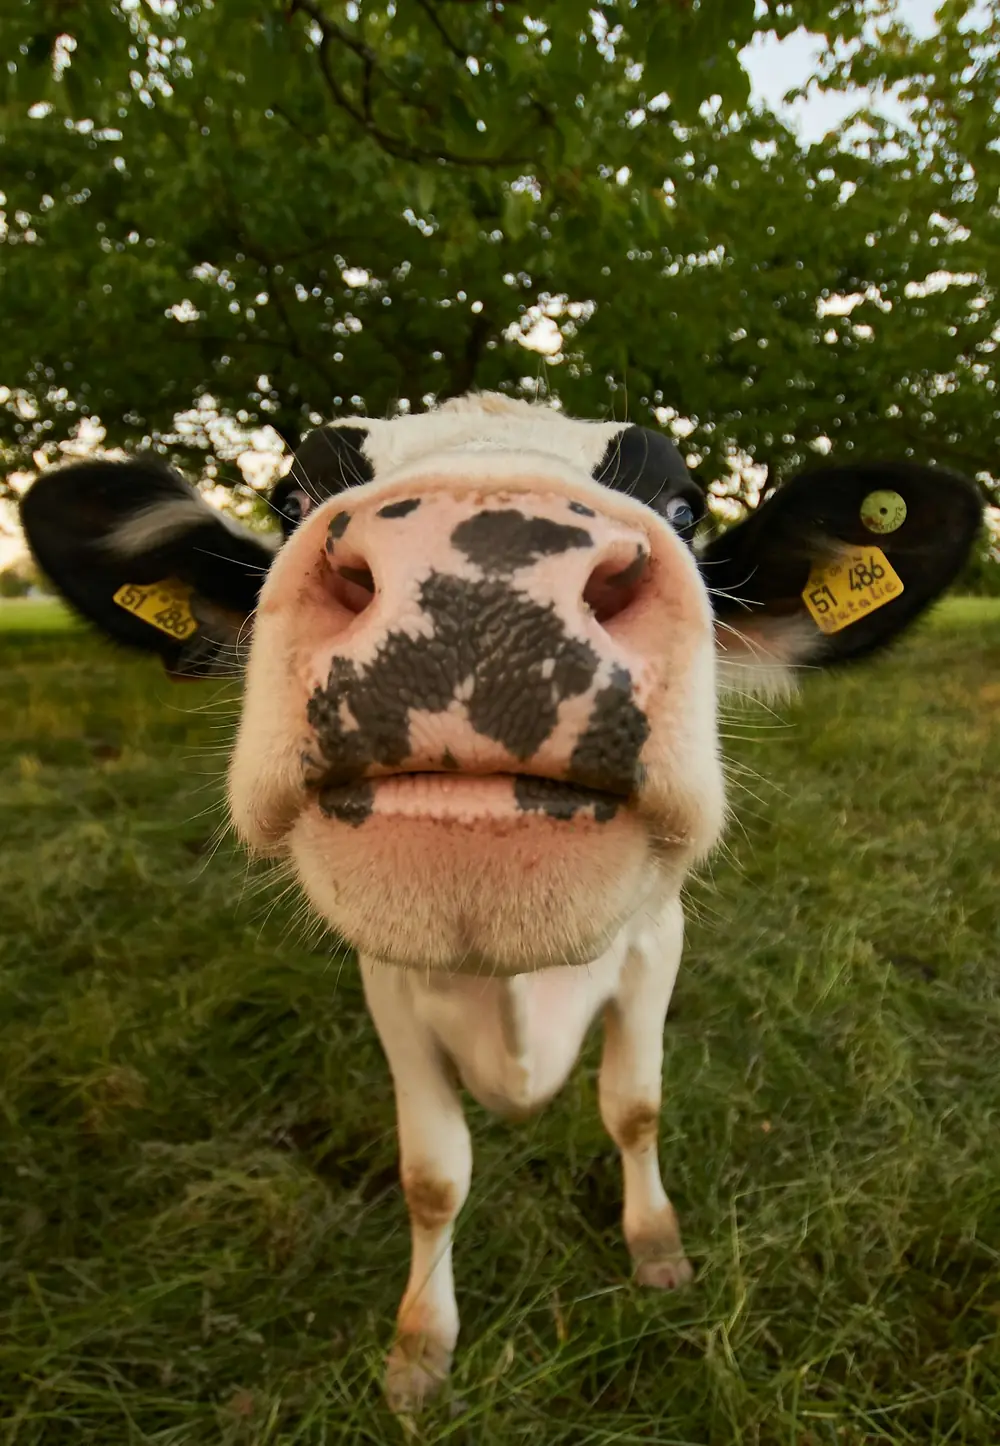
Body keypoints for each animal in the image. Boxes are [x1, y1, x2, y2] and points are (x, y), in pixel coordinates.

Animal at [20, 394, 982, 1412]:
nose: (479, 576)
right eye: (290, 499)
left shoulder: (656, 945)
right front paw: (419, 1346)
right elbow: (433, 1177)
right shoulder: (390, 987)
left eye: (685, 506)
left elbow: (635, 1108)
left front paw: (656, 1245)